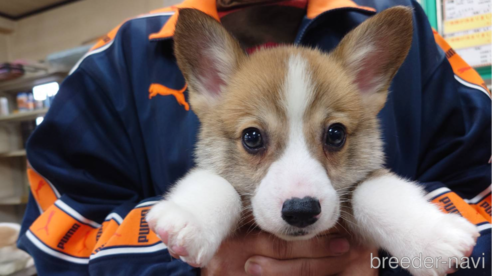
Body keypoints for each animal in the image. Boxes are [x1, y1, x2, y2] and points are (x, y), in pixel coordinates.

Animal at [145, 7, 476, 276]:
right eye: (252, 137)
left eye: (335, 134)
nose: (301, 210)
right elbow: (217, 183)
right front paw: (186, 223)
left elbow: (377, 192)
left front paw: (432, 239)